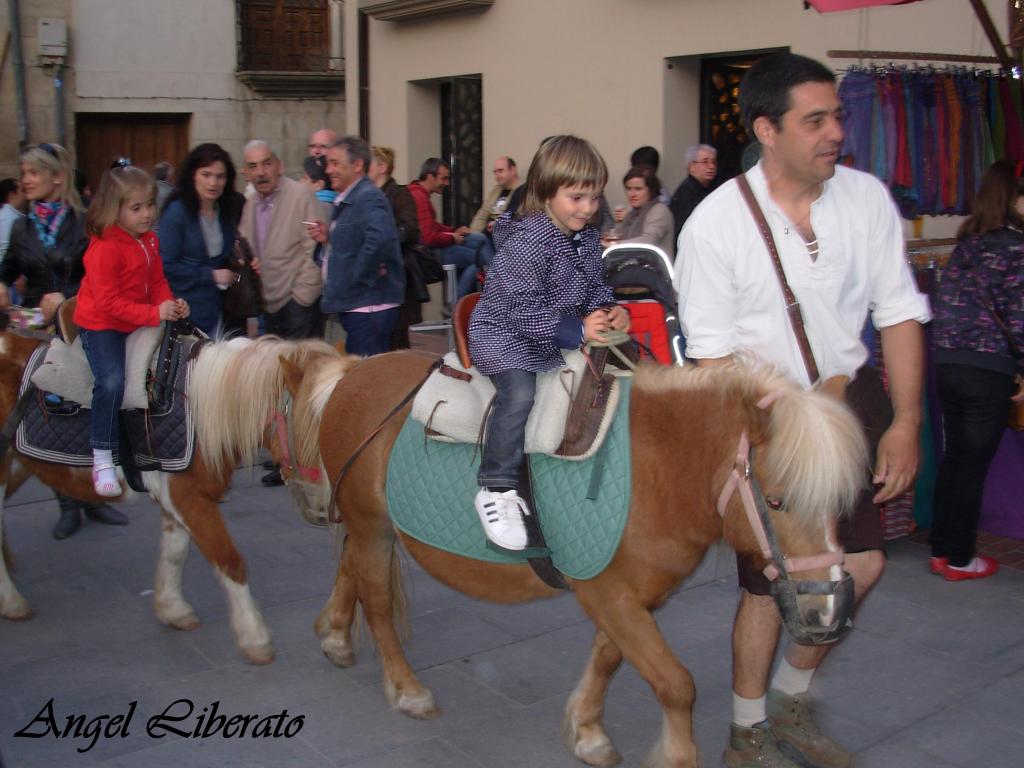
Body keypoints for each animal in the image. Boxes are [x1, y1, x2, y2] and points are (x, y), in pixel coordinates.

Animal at [0, 327, 356, 663]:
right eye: (318, 425)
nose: (330, 506)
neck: (203, 407)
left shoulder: (177, 499)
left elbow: (175, 553)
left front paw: (172, 609)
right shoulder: (189, 499)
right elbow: (229, 561)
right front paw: (255, 637)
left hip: (16, 467)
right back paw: (13, 602)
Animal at [282, 352, 872, 768]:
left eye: (840, 504)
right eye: (778, 501)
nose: (827, 614)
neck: (661, 467)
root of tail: (352, 371)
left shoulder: (625, 596)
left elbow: (609, 660)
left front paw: (587, 733)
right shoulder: (613, 596)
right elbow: (676, 684)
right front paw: (673, 754)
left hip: (368, 528)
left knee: (350, 570)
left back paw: (335, 635)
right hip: (374, 529)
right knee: (378, 605)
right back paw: (406, 690)